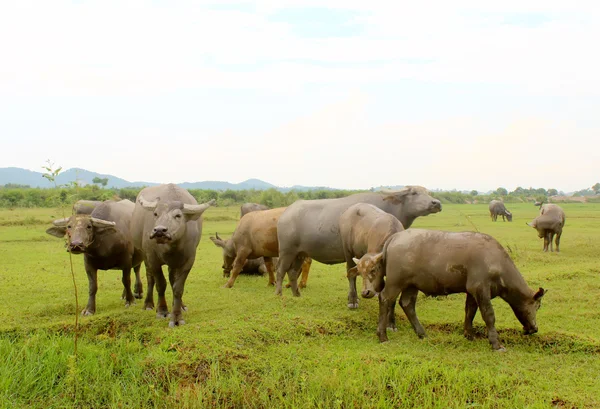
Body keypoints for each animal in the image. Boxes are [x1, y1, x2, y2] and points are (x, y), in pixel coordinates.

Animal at [132, 183, 216, 326]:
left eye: (178, 215)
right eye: (156, 214)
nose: (159, 230)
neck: (171, 247)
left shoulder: (188, 261)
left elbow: (178, 287)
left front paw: (177, 316)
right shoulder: (152, 259)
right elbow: (160, 284)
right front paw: (162, 311)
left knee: (172, 280)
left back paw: (181, 305)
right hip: (145, 255)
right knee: (150, 278)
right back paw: (148, 304)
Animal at [276, 186, 440, 298]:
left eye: (428, 193)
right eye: (414, 193)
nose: (436, 203)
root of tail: (285, 213)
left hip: (300, 253)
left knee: (292, 272)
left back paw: (296, 294)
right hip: (286, 251)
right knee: (280, 270)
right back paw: (278, 293)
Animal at [356, 228, 548, 350]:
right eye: (538, 306)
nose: (534, 328)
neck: (496, 261)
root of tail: (395, 237)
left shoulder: (472, 291)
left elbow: (470, 311)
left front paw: (469, 335)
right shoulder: (480, 289)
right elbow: (489, 315)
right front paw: (496, 343)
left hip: (411, 285)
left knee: (407, 304)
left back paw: (422, 334)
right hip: (396, 282)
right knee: (385, 299)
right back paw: (382, 336)